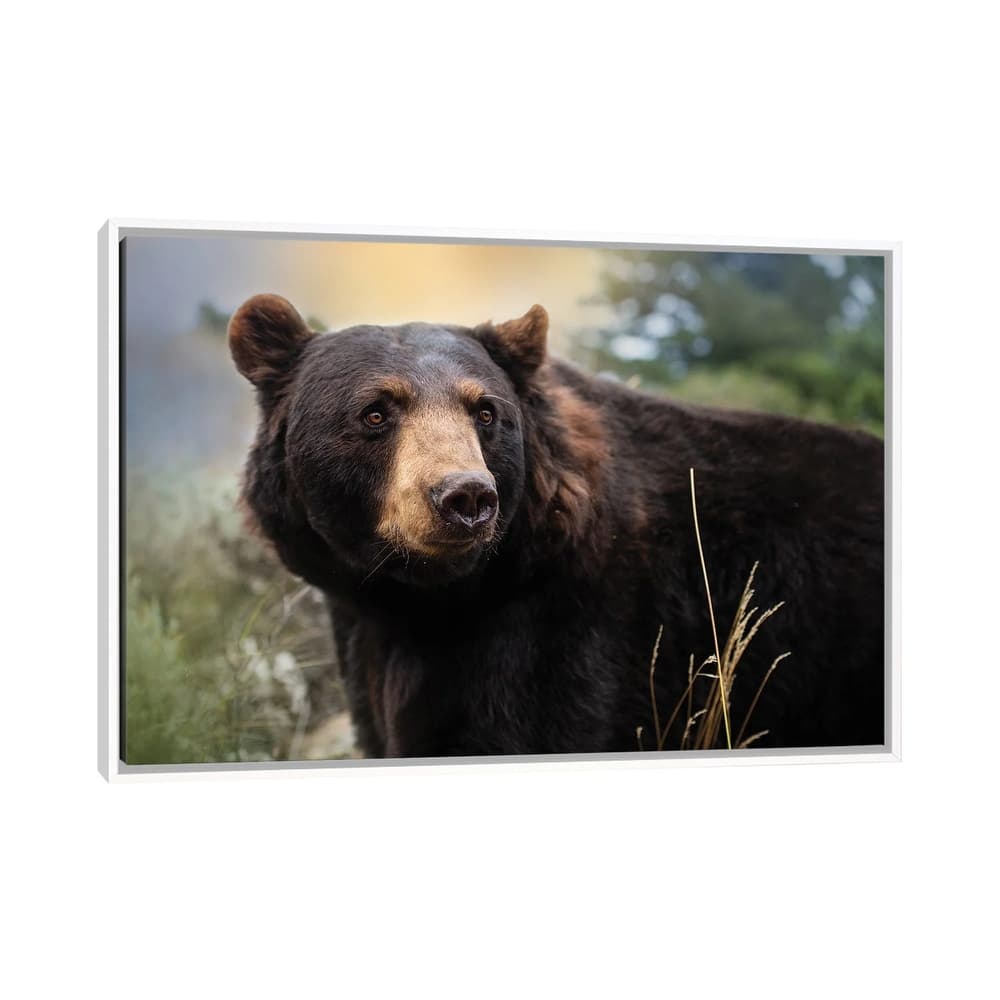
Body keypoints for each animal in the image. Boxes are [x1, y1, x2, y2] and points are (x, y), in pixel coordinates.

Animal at [229, 293, 885, 758]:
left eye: (485, 411)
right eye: (375, 412)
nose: (466, 496)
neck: (423, 598)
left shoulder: (567, 634)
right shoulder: (371, 637)